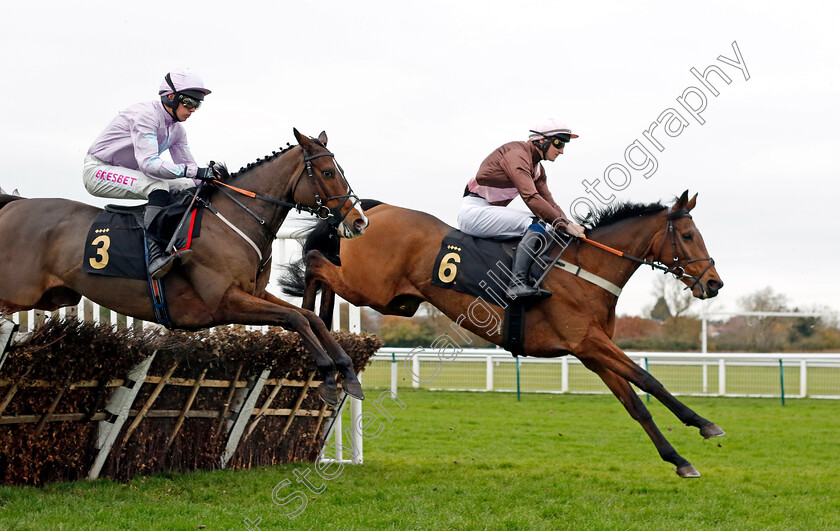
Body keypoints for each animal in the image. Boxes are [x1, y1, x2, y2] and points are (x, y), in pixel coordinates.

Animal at [0, 131, 368, 406]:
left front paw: (347, 373)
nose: (359, 221)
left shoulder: (253, 293)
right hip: (16, 294)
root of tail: (13, 205)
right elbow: (296, 319)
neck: (233, 220)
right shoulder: (224, 302)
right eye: (328, 173)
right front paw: (328, 377)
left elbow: (310, 318)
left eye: (340, 170)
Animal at [284, 191, 728, 478]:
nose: (714, 284)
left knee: (323, 267)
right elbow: (650, 380)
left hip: (397, 301)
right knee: (316, 261)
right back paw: (313, 325)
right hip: (371, 287)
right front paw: (704, 423)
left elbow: (636, 405)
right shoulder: (589, 342)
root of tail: (374, 210)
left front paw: (678, 459)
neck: (584, 270)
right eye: (688, 235)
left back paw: (323, 329)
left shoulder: (590, 352)